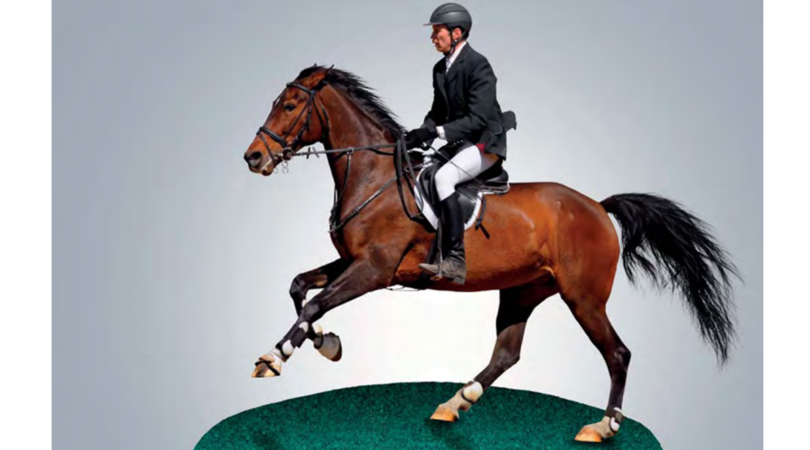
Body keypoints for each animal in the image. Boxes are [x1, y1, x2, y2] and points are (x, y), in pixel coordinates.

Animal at [241, 65, 740, 443]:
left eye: (289, 106)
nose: (253, 158)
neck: (373, 176)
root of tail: (598, 206)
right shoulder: (352, 263)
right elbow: (300, 288)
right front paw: (326, 343)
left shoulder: (374, 270)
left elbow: (316, 302)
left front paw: (274, 358)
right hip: (523, 291)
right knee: (507, 353)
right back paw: (455, 402)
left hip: (583, 298)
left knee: (618, 354)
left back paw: (602, 427)